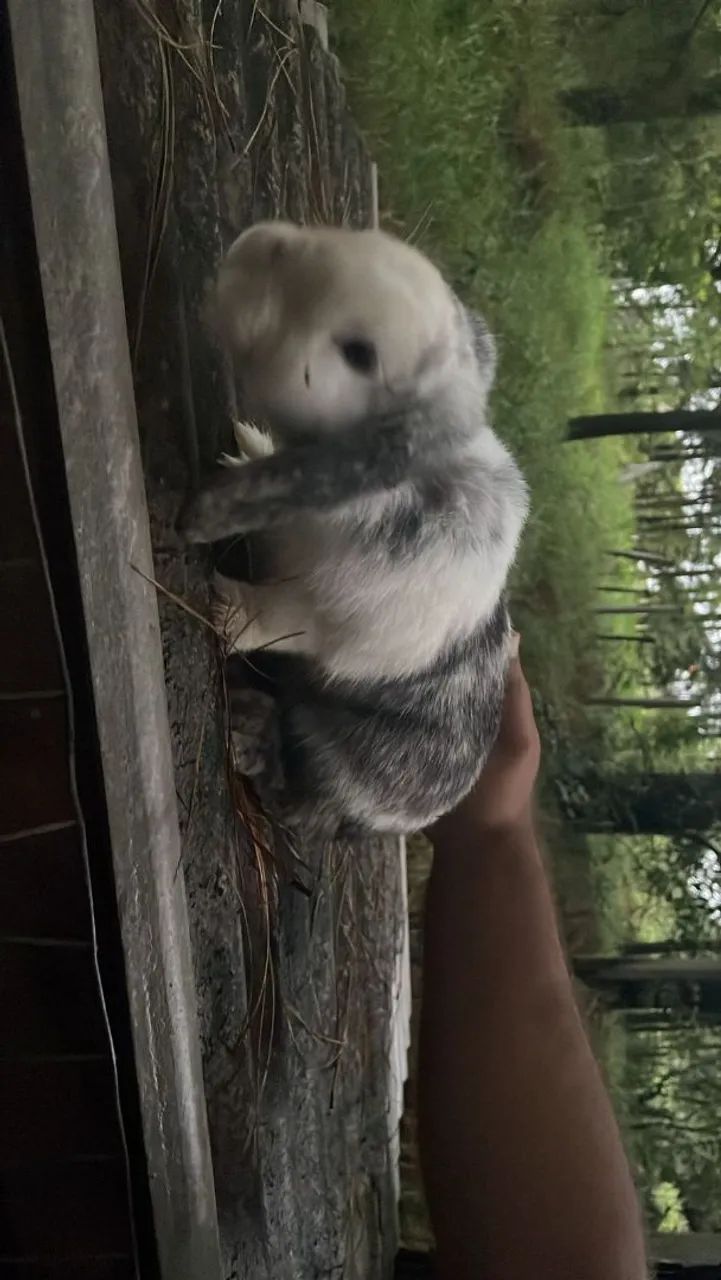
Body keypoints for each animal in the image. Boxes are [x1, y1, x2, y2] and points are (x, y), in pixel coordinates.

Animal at [179, 221, 528, 838]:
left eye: (360, 354)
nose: (255, 248)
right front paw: (244, 447)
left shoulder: (324, 619)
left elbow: (274, 619)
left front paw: (221, 606)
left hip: (341, 762)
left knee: (302, 801)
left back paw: (247, 737)